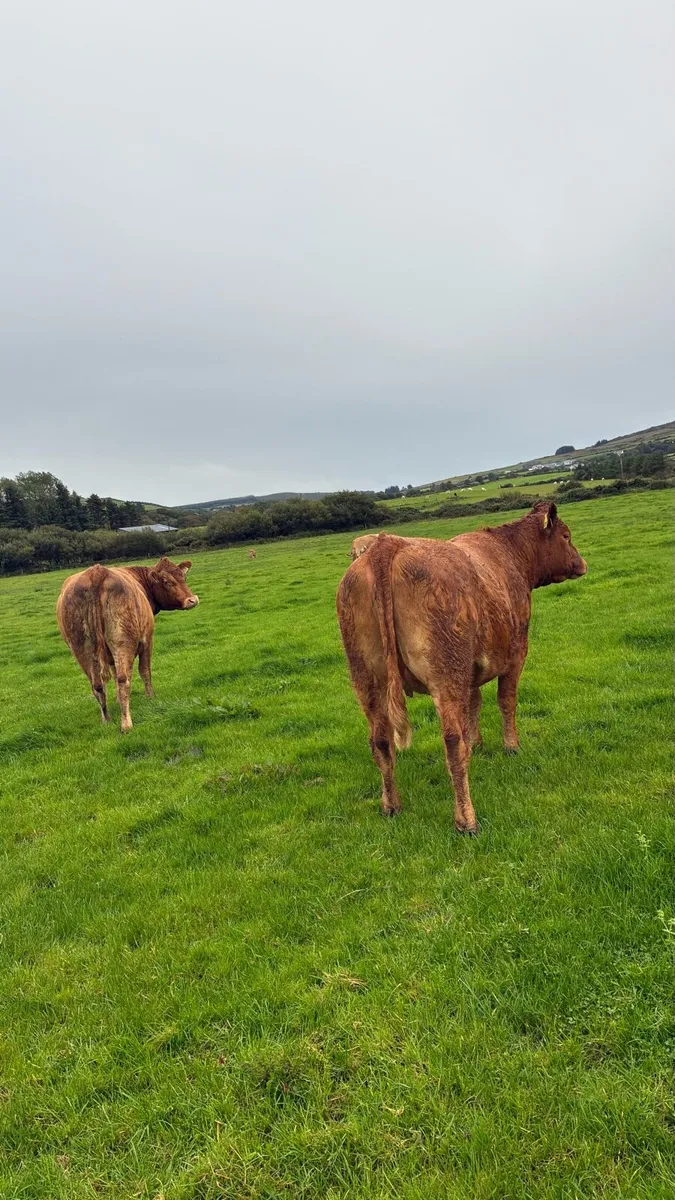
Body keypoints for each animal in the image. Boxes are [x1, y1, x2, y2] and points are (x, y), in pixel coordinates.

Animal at [57, 557, 199, 732]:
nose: (192, 600)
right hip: (123, 641)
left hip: (82, 649)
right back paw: (126, 723)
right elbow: (145, 671)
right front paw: (150, 697)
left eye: (183, 577)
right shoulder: (147, 641)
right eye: (167, 581)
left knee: (98, 685)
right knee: (123, 679)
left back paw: (106, 720)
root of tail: (96, 572)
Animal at [336, 502, 586, 832]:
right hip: (446, 675)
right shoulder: (516, 653)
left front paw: (477, 743)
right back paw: (466, 819)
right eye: (567, 536)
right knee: (452, 743)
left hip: (367, 679)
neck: (509, 554)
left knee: (381, 740)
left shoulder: (470, 670)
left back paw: (391, 806)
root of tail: (388, 544)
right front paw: (511, 746)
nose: (581, 564)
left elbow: (474, 705)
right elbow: (506, 701)